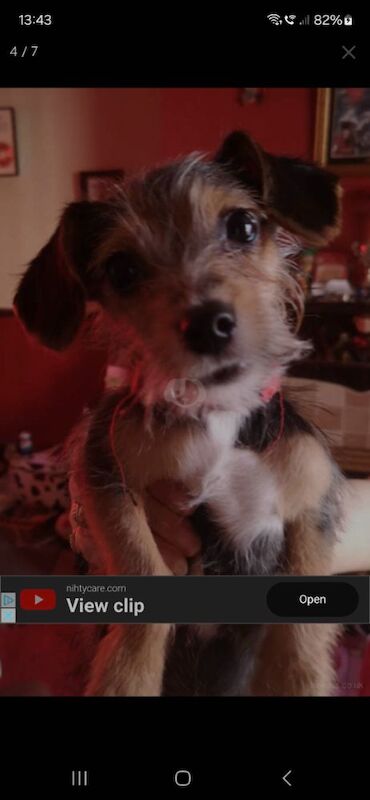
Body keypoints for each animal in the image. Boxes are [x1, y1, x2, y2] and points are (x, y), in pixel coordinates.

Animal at [14, 130, 344, 692]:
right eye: (122, 270)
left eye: (244, 226)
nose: (207, 324)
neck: (219, 412)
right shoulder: (107, 475)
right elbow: (141, 570)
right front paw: (127, 675)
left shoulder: (311, 504)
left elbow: (300, 632)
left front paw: (302, 677)